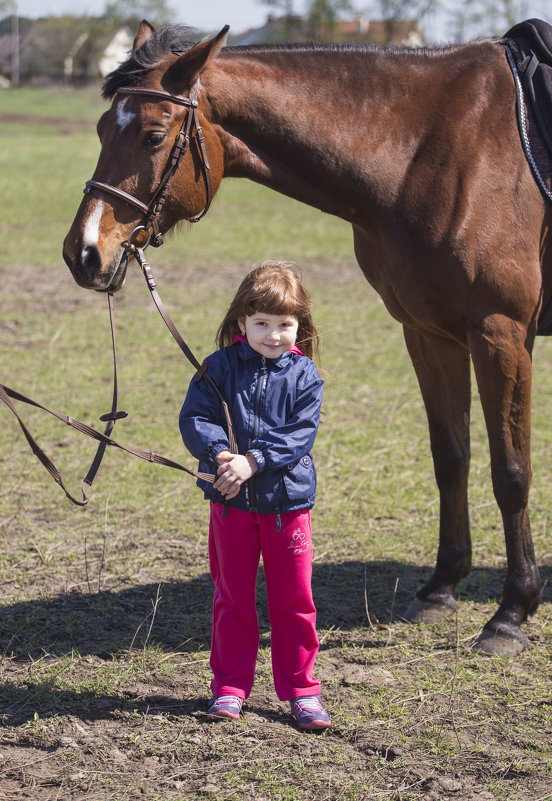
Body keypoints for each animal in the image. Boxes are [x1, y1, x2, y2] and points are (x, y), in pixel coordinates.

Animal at [62, 21, 548, 652]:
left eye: (152, 135)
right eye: (101, 129)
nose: (83, 253)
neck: (435, 149)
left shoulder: (500, 334)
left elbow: (511, 472)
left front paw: (512, 612)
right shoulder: (428, 333)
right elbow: (451, 457)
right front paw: (441, 588)